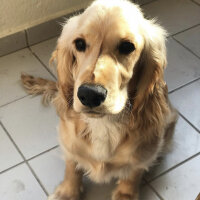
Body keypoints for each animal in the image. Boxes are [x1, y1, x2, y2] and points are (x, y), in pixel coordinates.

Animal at [21, 0, 178, 199]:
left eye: (127, 46)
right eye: (79, 43)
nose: (90, 94)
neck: (104, 124)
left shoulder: (143, 154)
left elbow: (132, 175)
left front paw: (125, 194)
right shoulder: (69, 143)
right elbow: (72, 167)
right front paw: (68, 192)